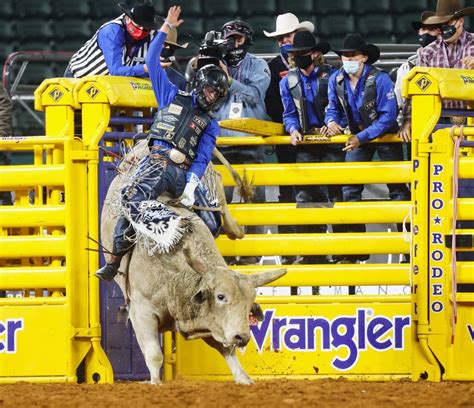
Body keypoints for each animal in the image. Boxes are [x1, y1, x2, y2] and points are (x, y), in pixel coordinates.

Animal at [101, 142, 286, 384]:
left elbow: (225, 348)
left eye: (249, 302)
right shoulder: (141, 312)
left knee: (220, 195)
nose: (242, 336)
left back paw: (235, 228)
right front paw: (155, 382)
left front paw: (244, 379)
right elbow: (154, 354)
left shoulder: (209, 320)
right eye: (221, 296)